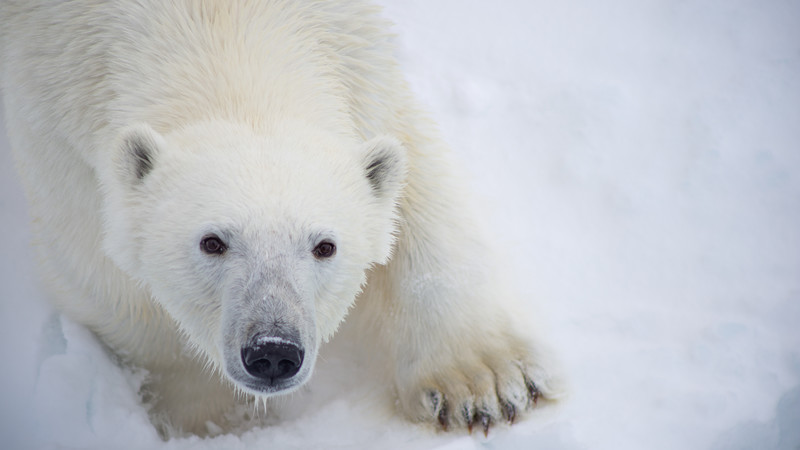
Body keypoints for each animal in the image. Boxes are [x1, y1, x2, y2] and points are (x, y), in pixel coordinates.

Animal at [0, 0, 562, 437]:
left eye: (324, 245)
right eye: (212, 241)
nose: (273, 351)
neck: (222, 30)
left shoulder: (361, 60)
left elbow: (415, 190)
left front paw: (484, 384)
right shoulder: (54, 121)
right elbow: (107, 282)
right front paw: (216, 421)